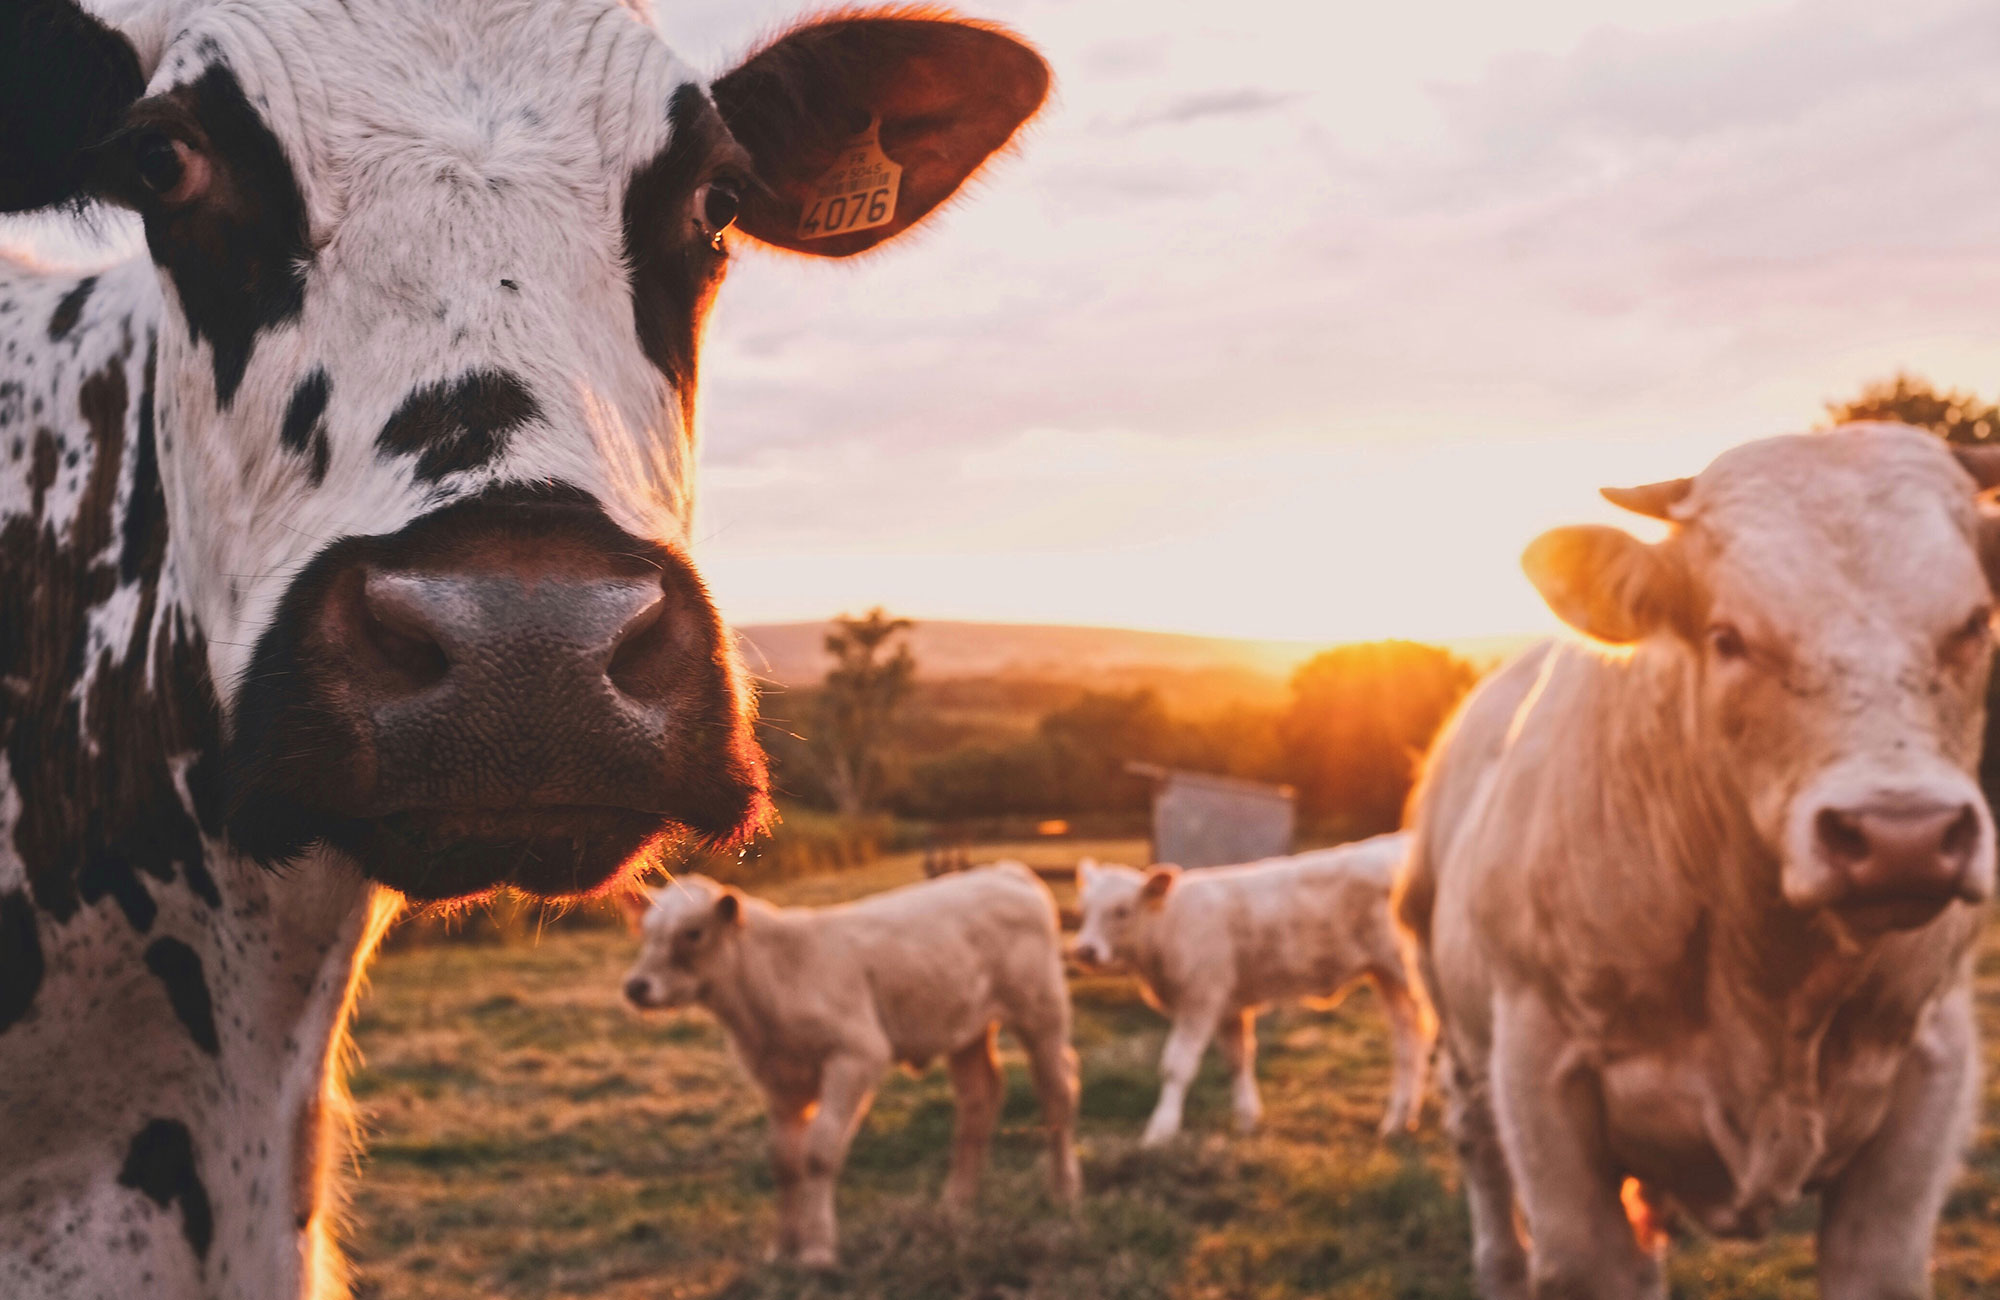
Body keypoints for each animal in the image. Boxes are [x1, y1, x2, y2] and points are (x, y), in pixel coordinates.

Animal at [620, 860, 1080, 1264]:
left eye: (693, 933)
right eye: (645, 931)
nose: (636, 986)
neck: (771, 982)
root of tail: (1004, 871)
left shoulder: (856, 1055)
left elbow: (819, 1153)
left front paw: (818, 1250)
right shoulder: (777, 1078)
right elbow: (784, 1161)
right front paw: (782, 1248)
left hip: (1042, 1012)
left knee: (1056, 1092)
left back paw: (1063, 1192)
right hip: (965, 1028)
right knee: (979, 1099)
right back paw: (957, 1202)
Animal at [1072, 832, 1432, 1144]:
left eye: (1122, 911)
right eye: (1083, 910)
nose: (1085, 950)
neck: (1169, 926)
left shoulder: (1200, 999)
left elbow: (1176, 1067)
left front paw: (1161, 1130)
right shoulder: (1229, 1006)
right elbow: (1238, 1059)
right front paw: (1247, 1119)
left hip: (1408, 971)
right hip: (1386, 976)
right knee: (1409, 1039)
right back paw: (1399, 1121)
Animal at [1400, 420, 2000, 1288]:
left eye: (1975, 622)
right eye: (1727, 637)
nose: (1903, 838)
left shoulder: (1929, 1076)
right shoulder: (1541, 1082)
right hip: (1456, 1034)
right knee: (1482, 1163)